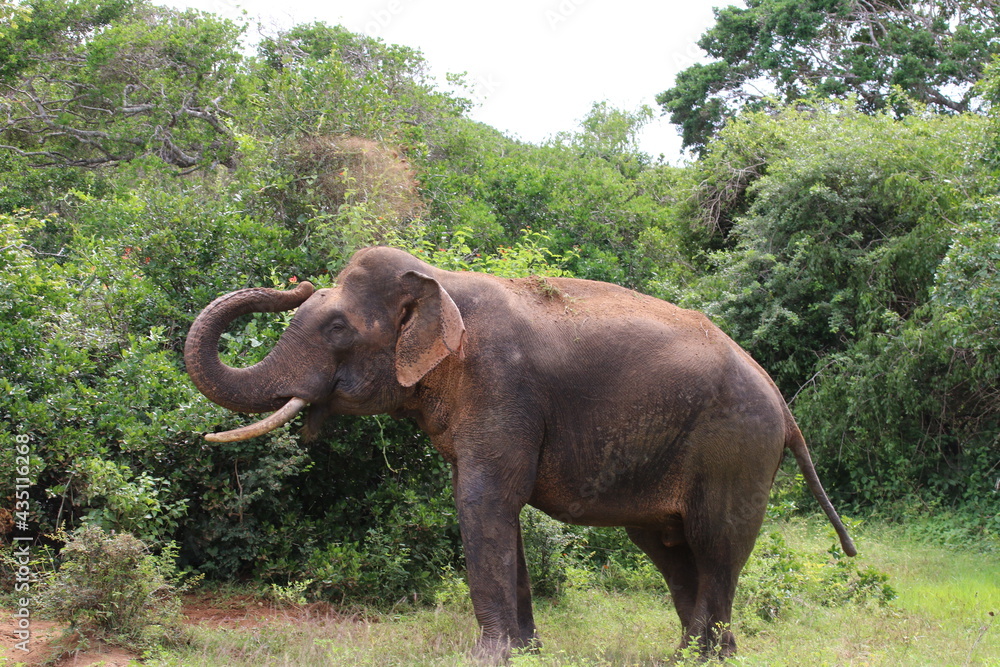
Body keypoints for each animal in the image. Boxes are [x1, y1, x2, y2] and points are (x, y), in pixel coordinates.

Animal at [184, 246, 856, 660]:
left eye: (337, 328)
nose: (293, 281)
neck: (442, 283)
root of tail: (783, 404)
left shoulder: (502, 388)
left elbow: (484, 502)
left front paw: (488, 657)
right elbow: (498, 511)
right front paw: (528, 653)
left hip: (735, 446)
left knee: (715, 545)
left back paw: (697, 658)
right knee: (671, 549)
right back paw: (703, 657)